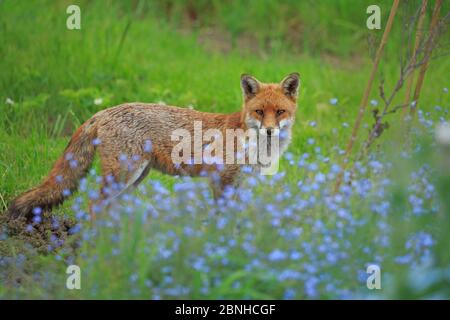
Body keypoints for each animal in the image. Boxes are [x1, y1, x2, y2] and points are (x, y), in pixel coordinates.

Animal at [6, 74, 298, 220]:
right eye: (259, 112)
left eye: (280, 112)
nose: (270, 130)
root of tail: (103, 111)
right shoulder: (222, 180)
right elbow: (221, 219)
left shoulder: (237, 183)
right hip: (125, 175)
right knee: (93, 204)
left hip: (135, 178)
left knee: (109, 207)